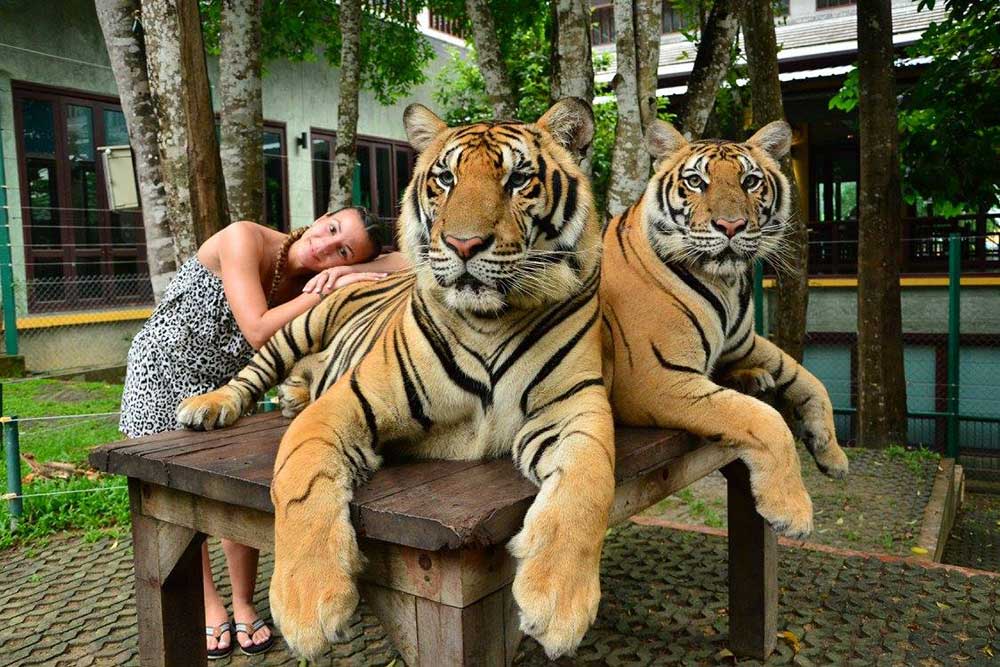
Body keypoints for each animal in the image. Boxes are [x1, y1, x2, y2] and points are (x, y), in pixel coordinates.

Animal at [175, 98, 613, 660]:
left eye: (518, 179)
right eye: (446, 178)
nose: (464, 244)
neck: (490, 321)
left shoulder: (574, 407)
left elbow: (588, 486)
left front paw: (559, 601)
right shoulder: (348, 400)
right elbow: (298, 483)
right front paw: (307, 603)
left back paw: (292, 396)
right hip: (302, 324)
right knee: (255, 370)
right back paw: (209, 406)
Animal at [599, 119, 849, 539]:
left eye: (750, 181)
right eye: (695, 182)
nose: (731, 226)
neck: (727, 283)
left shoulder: (743, 342)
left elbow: (810, 380)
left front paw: (832, 453)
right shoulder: (657, 379)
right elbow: (763, 419)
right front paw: (792, 511)